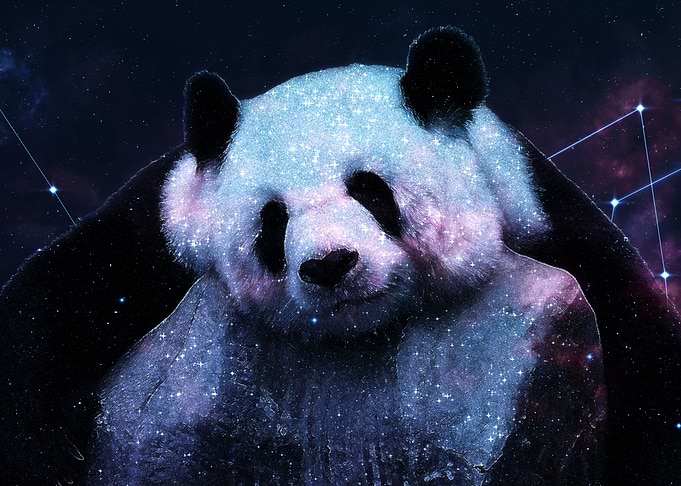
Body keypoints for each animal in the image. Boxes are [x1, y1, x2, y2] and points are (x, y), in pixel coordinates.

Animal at [1, 26, 680, 486]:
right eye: (272, 221)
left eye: (371, 190)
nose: (330, 264)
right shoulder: (164, 222)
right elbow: (62, 289)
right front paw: (51, 448)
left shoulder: (540, 212)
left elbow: (638, 337)